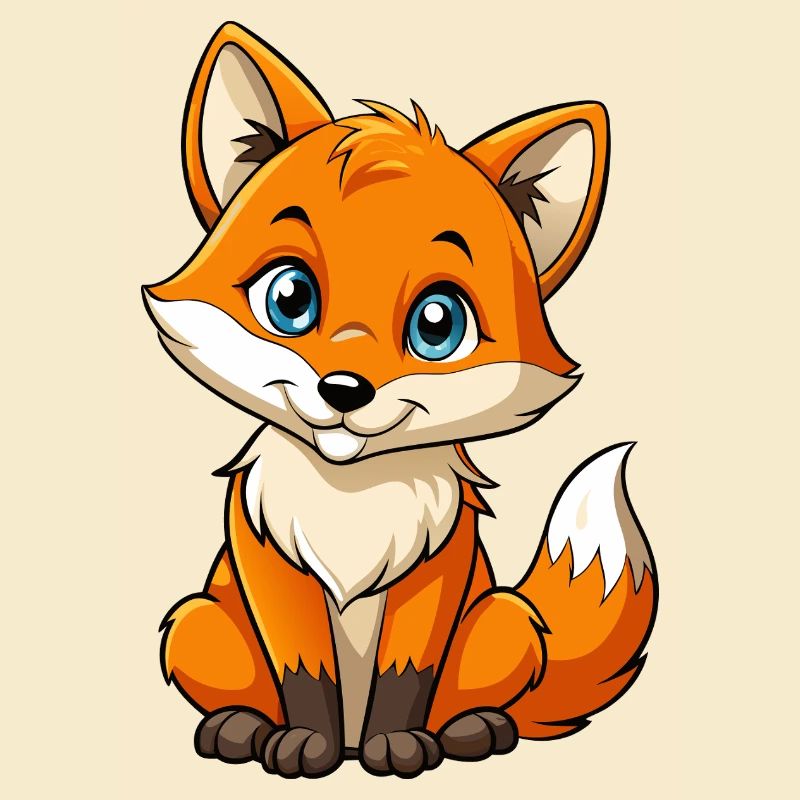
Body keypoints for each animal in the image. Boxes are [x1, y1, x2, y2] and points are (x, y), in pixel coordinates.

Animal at [143, 22, 658, 779]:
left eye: (437, 324)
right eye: (289, 297)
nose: (343, 389)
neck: (350, 500)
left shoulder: (435, 571)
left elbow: (405, 675)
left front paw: (401, 745)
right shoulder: (271, 566)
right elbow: (305, 674)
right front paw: (305, 744)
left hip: (504, 621)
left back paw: (472, 729)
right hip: (197, 621)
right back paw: (241, 727)